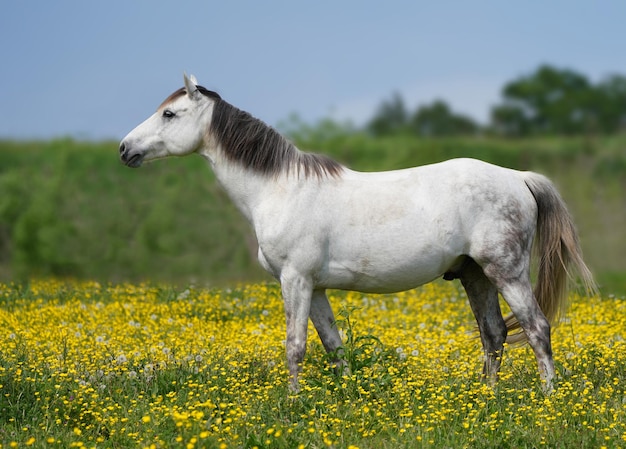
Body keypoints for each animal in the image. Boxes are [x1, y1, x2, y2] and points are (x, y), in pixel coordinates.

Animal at [120, 72, 596, 388]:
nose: (125, 149)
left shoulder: (295, 280)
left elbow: (295, 346)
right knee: (494, 334)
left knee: (536, 329)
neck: (280, 188)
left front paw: (293, 404)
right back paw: (488, 398)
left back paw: (547, 398)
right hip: (475, 275)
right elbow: (333, 345)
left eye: (169, 113)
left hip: (506, 272)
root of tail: (519, 177)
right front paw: (346, 399)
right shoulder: (315, 287)